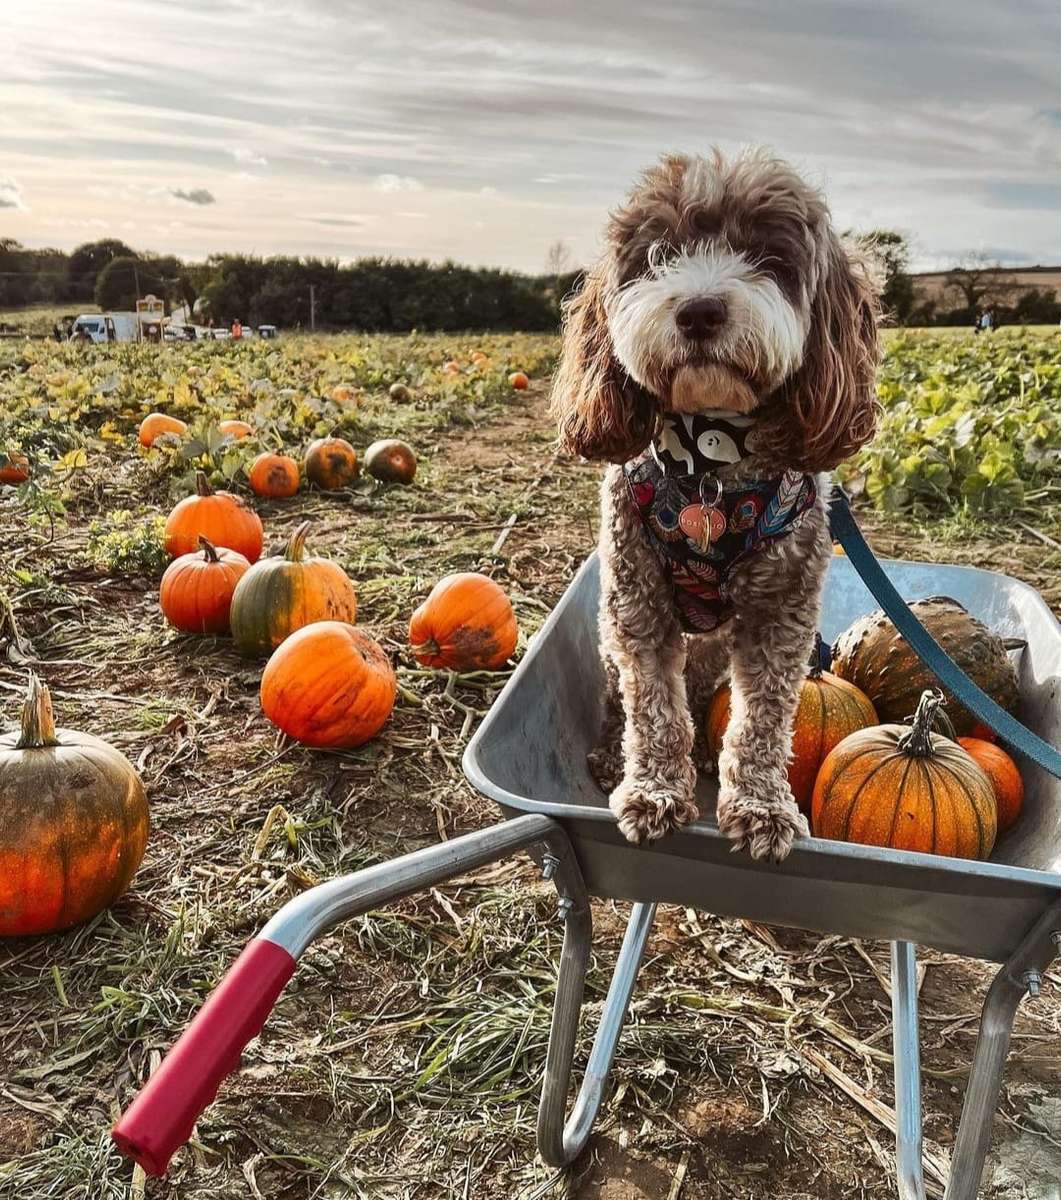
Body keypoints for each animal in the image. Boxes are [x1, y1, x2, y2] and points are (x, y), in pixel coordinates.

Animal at [547, 150, 878, 864]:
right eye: (657, 254)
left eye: (769, 257)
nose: (699, 311)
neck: (710, 467)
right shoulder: (637, 603)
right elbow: (653, 710)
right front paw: (653, 789)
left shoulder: (780, 614)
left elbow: (762, 720)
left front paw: (759, 805)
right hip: (611, 636)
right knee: (626, 701)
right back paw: (616, 755)